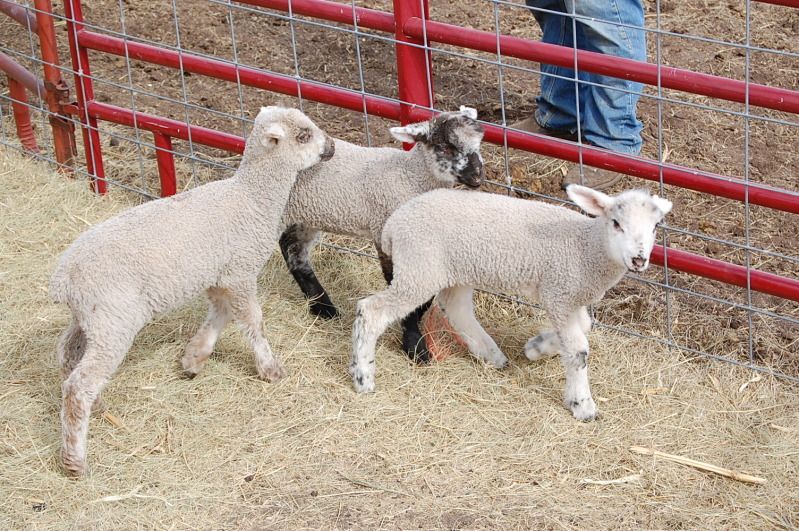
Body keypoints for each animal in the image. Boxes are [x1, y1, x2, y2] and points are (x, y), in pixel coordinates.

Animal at [49, 106, 334, 477]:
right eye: (303, 135)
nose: (331, 147)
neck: (251, 197)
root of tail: (64, 278)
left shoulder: (219, 276)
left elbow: (219, 316)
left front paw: (193, 359)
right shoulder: (240, 271)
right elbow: (252, 322)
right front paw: (270, 369)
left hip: (90, 316)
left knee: (67, 355)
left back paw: (96, 408)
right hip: (113, 320)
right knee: (79, 385)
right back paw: (74, 460)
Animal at [278, 106, 485, 364]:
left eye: (478, 144)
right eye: (445, 147)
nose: (477, 177)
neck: (411, 176)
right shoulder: (386, 234)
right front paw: (415, 347)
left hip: (308, 213)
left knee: (293, 249)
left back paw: (323, 308)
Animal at [350, 185, 672, 421]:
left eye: (656, 227)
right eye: (616, 223)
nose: (639, 260)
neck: (587, 248)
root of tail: (394, 222)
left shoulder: (570, 295)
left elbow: (585, 327)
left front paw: (536, 348)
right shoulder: (559, 293)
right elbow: (578, 349)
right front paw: (582, 405)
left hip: (456, 269)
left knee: (456, 309)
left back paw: (492, 355)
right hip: (419, 269)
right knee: (372, 311)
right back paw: (363, 377)